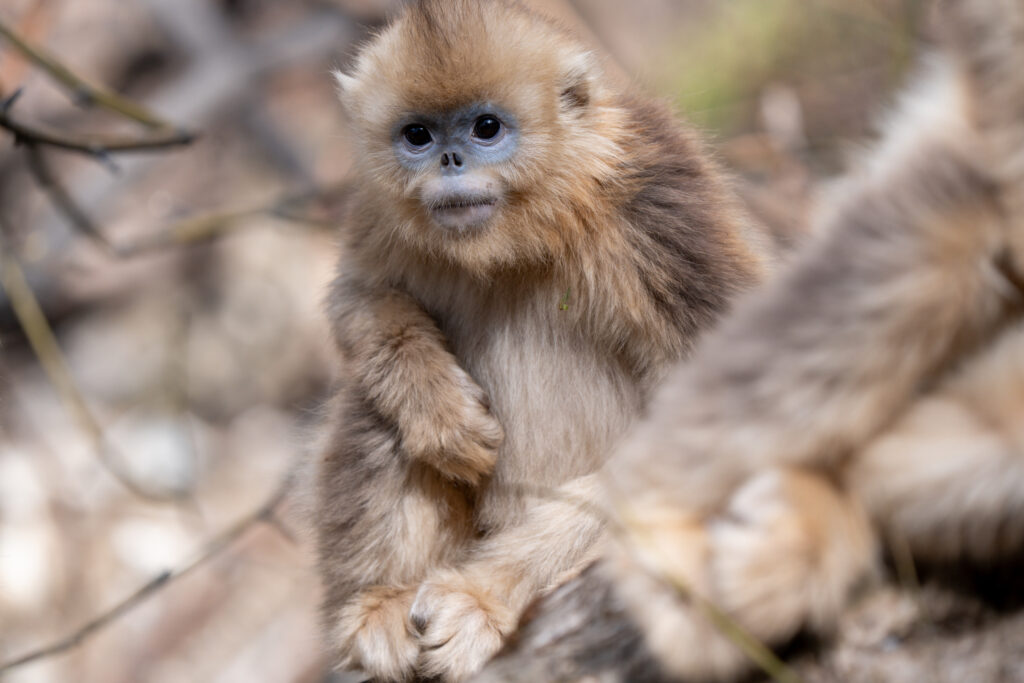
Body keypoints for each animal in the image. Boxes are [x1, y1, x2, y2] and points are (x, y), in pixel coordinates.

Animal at [311, 1, 773, 681]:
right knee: (373, 408)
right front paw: (441, 414)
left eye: (486, 128)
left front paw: (484, 596)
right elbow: (357, 296)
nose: (450, 162)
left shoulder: (656, 210)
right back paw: (382, 604)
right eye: (418, 136)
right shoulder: (379, 210)